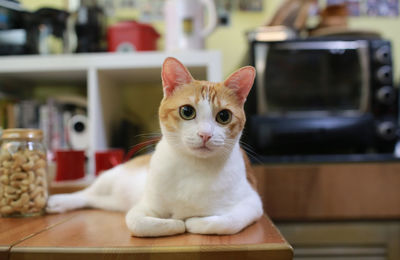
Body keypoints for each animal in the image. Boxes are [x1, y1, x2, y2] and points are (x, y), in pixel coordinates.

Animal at [47, 57, 264, 238]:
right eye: (187, 111)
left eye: (224, 116)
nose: (205, 134)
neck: (193, 167)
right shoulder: (143, 207)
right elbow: (140, 223)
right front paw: (176, 223)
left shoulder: (252, 203)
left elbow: (225, 223)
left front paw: (194, 221)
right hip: (111, 178)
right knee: (85, 193)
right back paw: (60, 201)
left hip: (112, 200)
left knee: (92, 199)